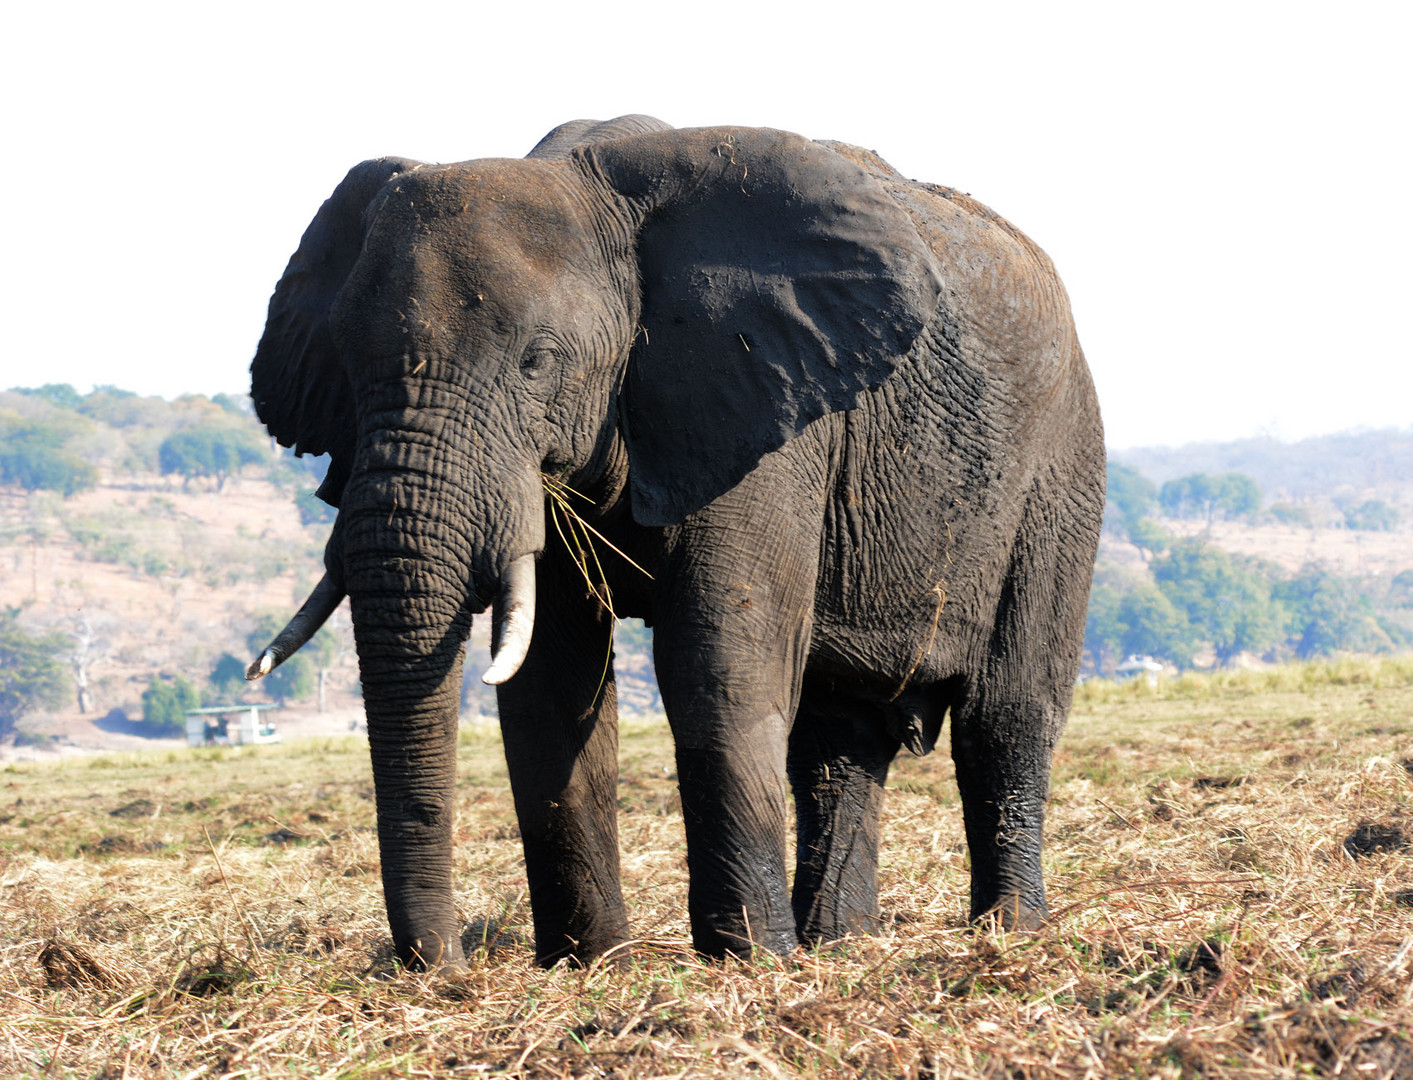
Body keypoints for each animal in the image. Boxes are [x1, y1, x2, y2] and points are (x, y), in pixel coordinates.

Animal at [245, 115, 1102, 972]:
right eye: (345, 364)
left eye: (536, 362)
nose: (445, 969)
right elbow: (552, 675)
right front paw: (591, 966)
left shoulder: (765, 410)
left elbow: (718, 658)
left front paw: (749, 962)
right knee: (838, 738)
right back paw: (839, 944)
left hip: (1060, 469)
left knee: (1006, 714)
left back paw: (1006, 934)